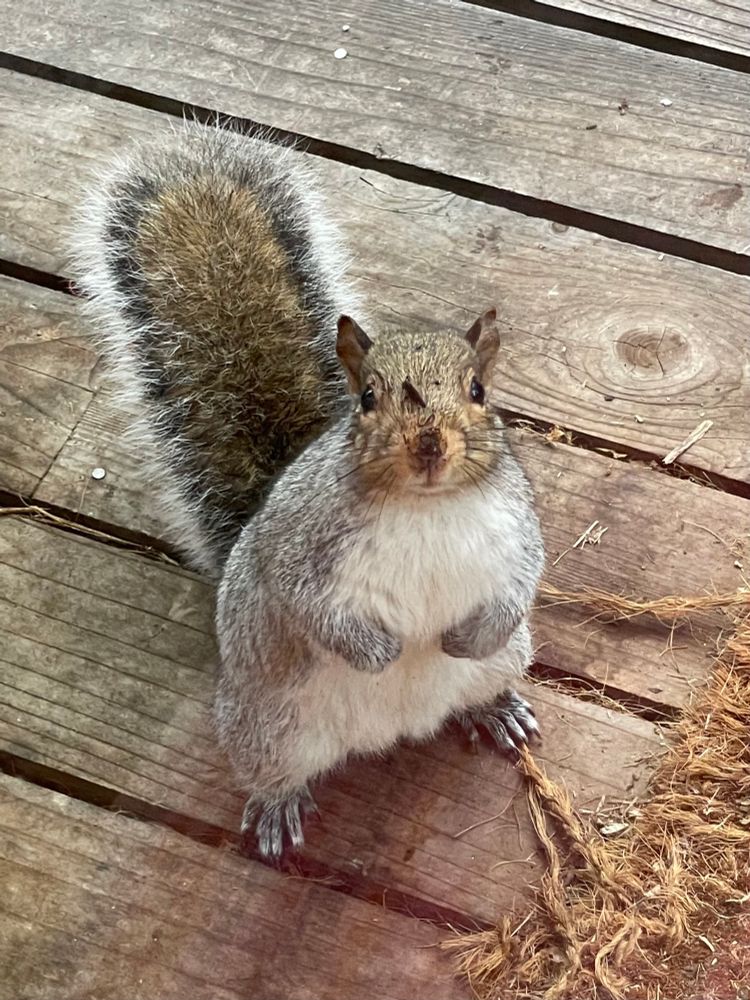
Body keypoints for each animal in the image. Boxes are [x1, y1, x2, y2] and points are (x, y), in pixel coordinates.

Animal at [72, 121, 545, 860]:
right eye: (368, 398)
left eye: (478, 391)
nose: (429, 446)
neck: (425, 508)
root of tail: (397, 728)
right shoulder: (301, 548)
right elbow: (307, 604)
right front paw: (377, 652)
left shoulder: (514, 527)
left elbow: (523, 582)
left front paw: (469, 635)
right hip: (268, 727)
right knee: (273, 769)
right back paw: (276, 807)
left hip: (504, 660)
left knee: (490, 673)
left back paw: (498, 708)